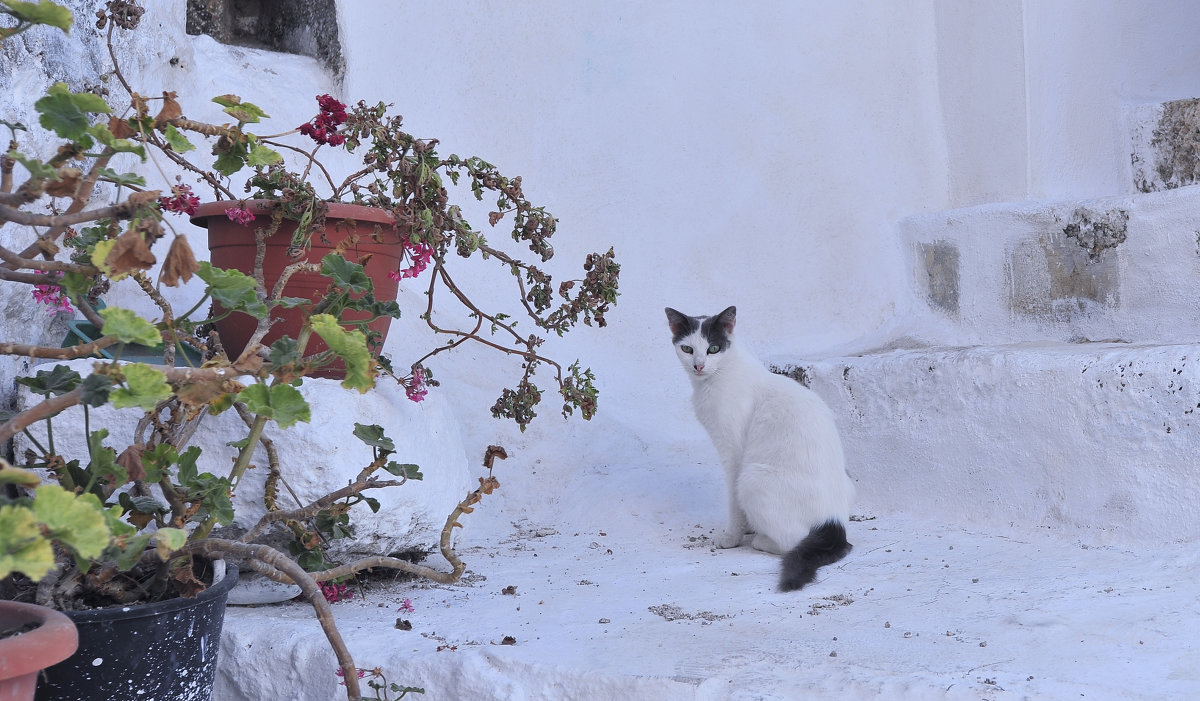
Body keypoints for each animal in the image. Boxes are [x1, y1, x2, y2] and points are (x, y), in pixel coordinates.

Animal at [667, 303, 854, 588]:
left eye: (713, 348)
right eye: (687, 349)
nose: (698, 366)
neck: (718, 377)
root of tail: (834, 523)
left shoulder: (734, 454)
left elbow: (733, 503)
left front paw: (732, 537)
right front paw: (746, 527)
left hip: (752, 478)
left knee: (793, 540)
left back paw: (762, 540)